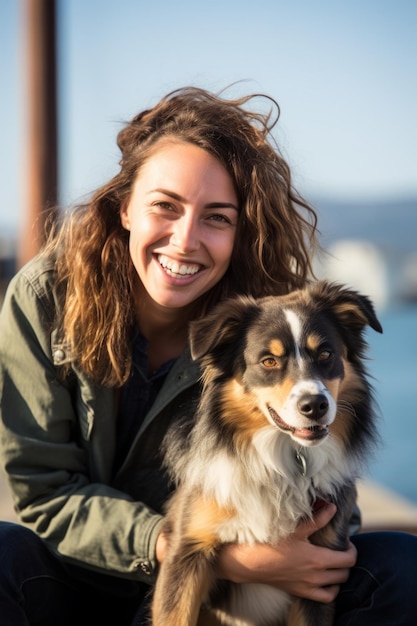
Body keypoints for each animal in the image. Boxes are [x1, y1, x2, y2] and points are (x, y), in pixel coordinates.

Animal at [151, 280, 382, 620]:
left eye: (326, 354)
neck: (284, 462)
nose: (315, 405)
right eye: (269, 361)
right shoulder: (186, 551)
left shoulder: (322, 569)